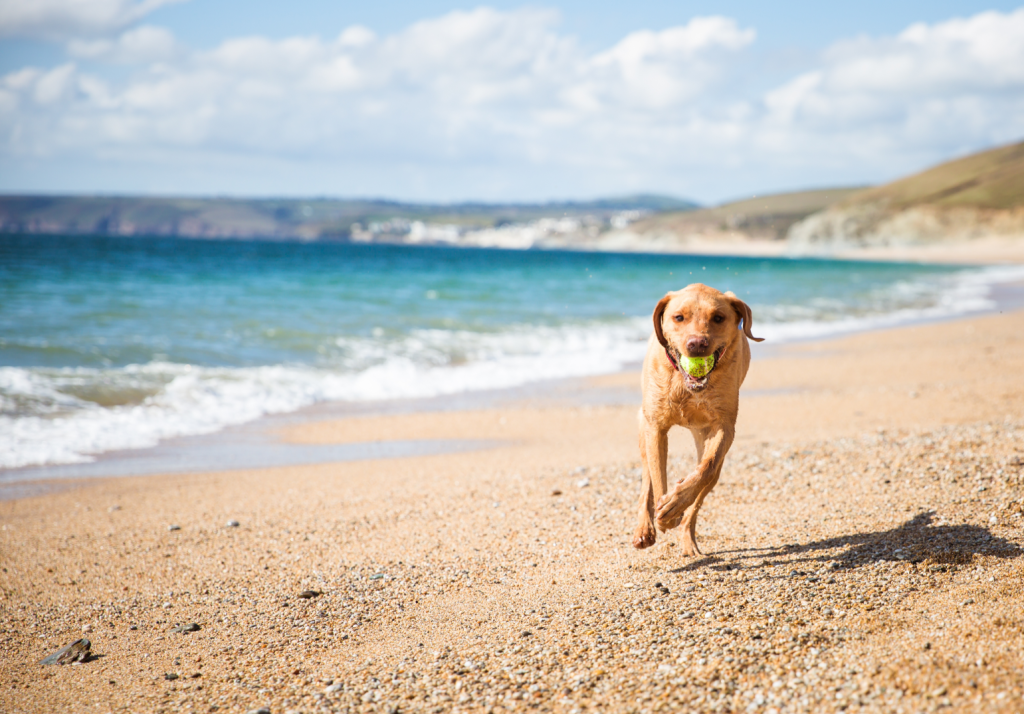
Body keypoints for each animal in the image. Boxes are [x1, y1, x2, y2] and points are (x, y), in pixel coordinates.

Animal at [626, 280, 765, 553]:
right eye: (679, 317)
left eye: (719, 318)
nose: (697, 344)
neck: (686, 385)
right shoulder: (655, 427)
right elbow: (658, 478)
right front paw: (665, 512)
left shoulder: (724, 427)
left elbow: (706, 468)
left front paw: (674, 504)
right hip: (643, 428)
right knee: (647, 479)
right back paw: (645, 528)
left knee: (700, 491)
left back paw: (687, 537)